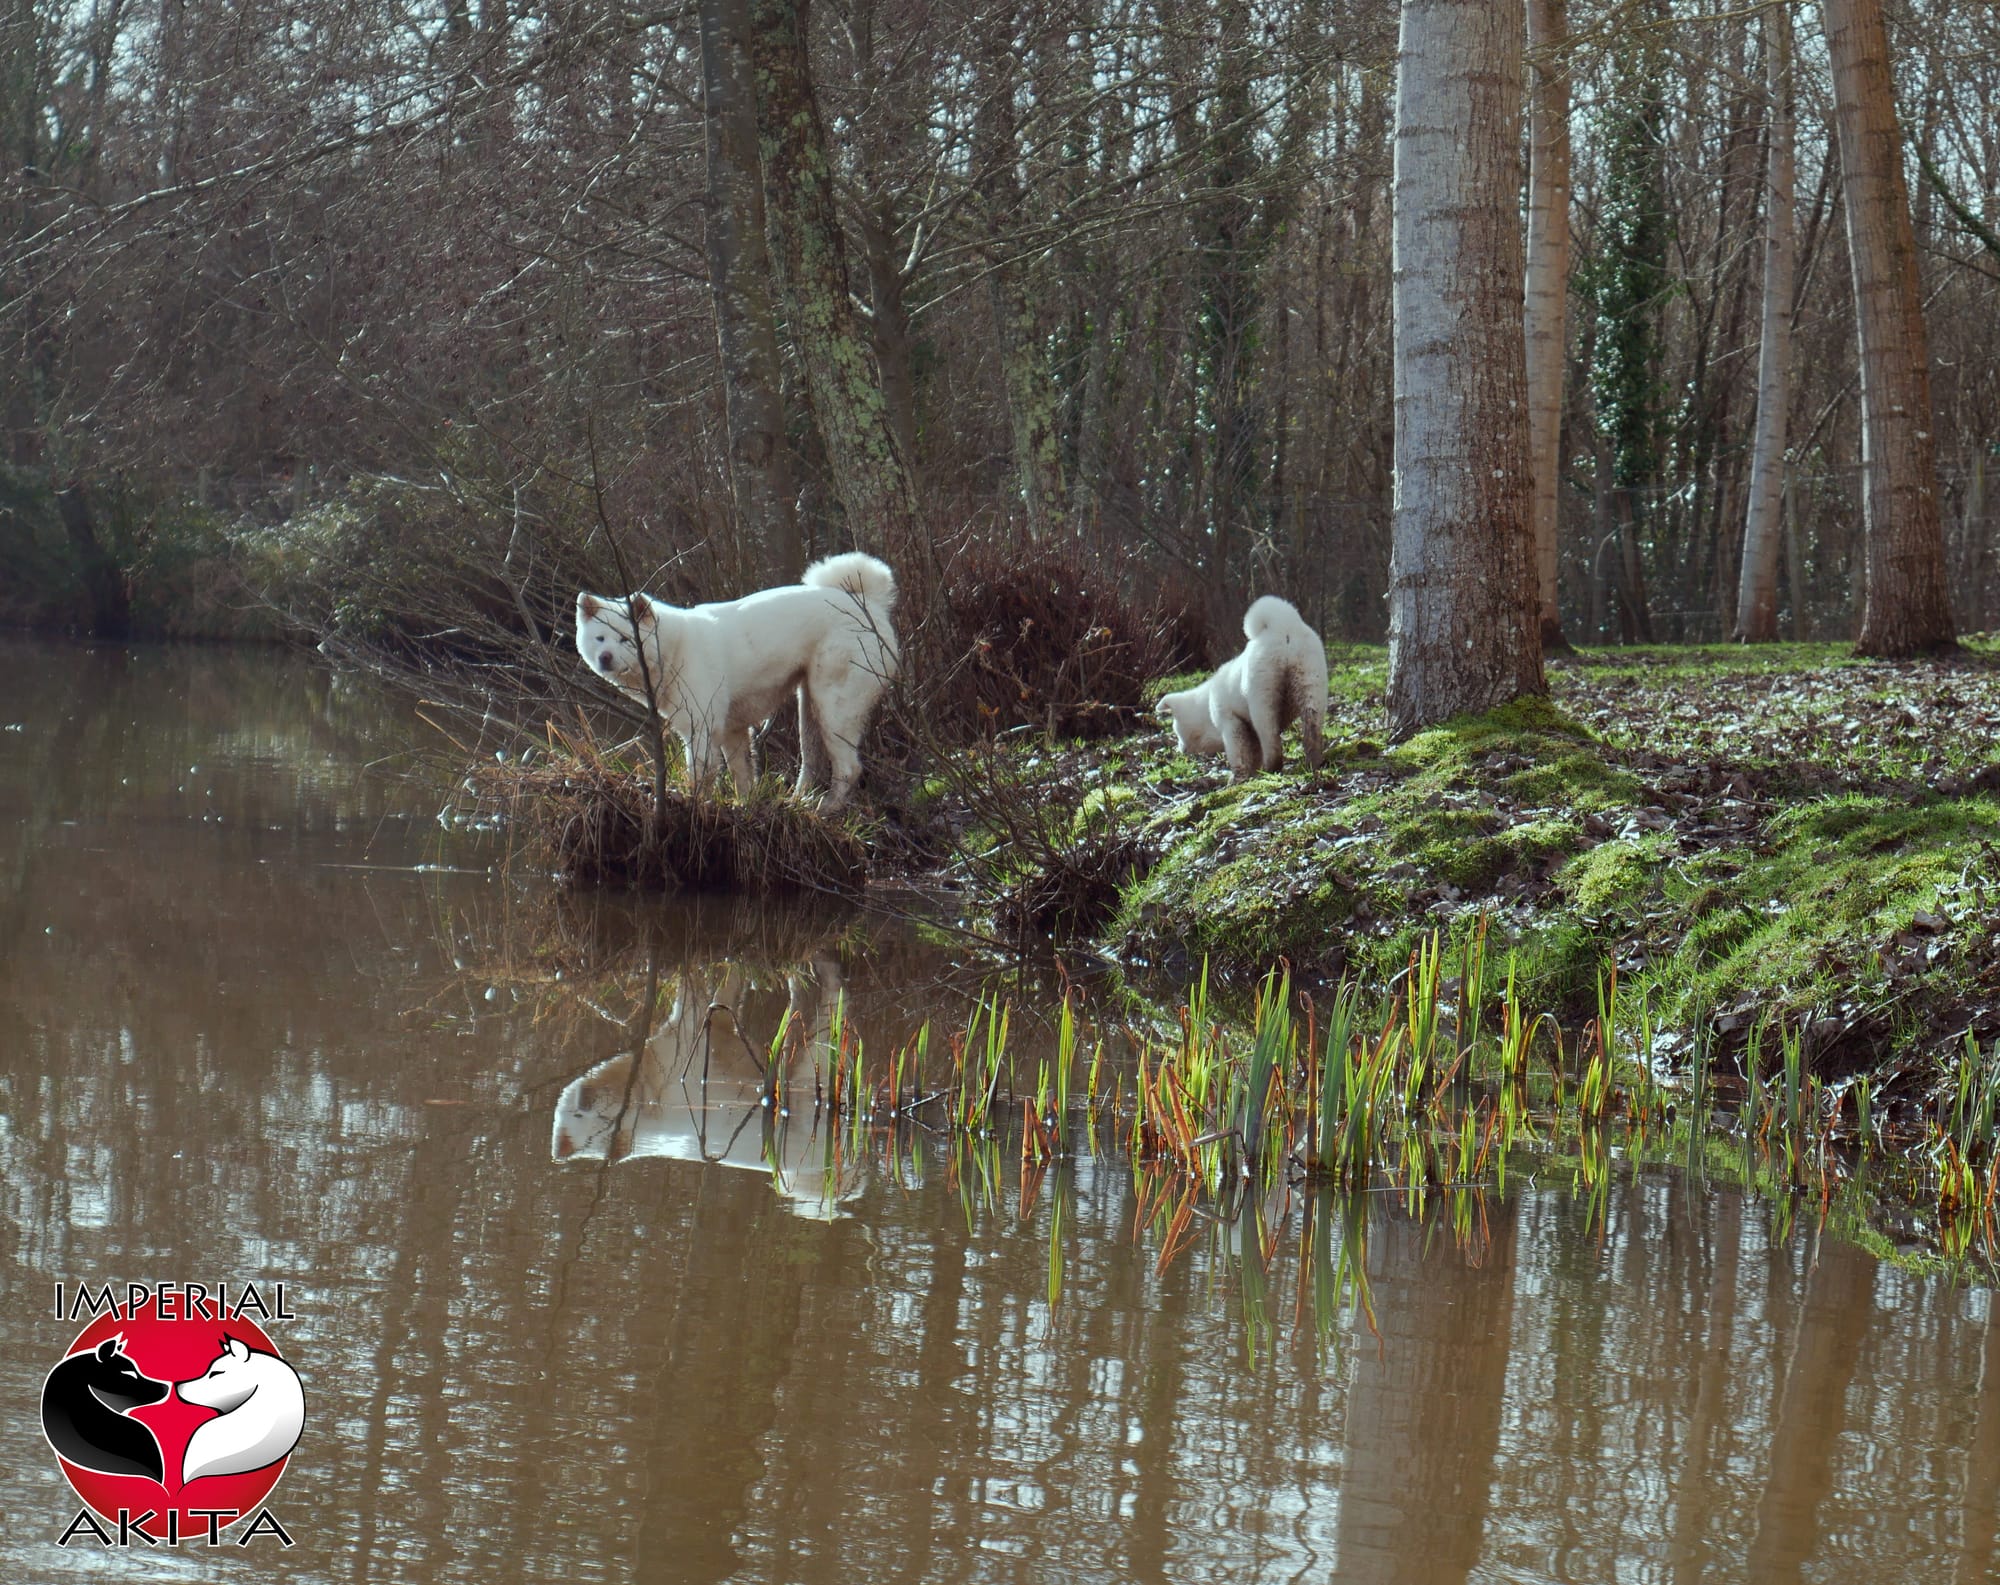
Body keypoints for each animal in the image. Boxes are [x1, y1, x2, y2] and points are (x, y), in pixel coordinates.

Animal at [576, 552, 896, 804]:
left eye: (625, 639)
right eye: (600, 638)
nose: (605, 657)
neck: (672, 650)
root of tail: (868, 605)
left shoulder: (702, 727)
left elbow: (701, 774)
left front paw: (695, 803)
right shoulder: (732, 729)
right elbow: (741, 773)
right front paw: (746, 806)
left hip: (835, 706)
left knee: (848, 769)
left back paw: (825, 809)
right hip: (810, 704)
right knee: (812, 762)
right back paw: (799, 803)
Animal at [1160, 592, 1328, 780]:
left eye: (1176, 730)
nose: (1179, 749)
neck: (1206, 704)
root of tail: (1282, 624)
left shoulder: (1232, 724)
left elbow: (1239, 755)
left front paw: (1238, 778)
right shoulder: (1248, 732)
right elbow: (1253, 755)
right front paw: (1252, 774)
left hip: (1262, 699)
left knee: (1271, 741)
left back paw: (1271, 769)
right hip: (1311, 685)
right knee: (1312, 731)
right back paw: (1313, 763)